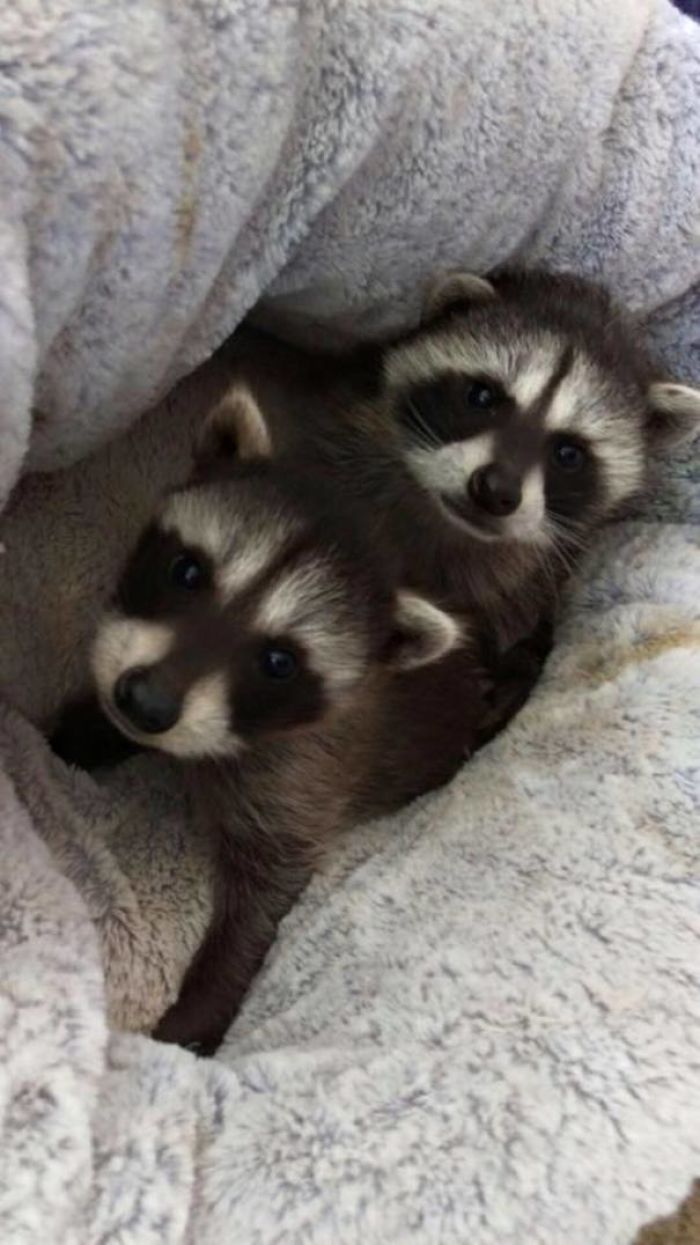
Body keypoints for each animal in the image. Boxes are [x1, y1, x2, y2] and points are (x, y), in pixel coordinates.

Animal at [53, 389, 532, 1053]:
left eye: (279, 662)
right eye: (187, 572)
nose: (145, 704)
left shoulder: (304, 778)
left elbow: (263, 900)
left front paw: (198, 1009)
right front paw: (90, 728)